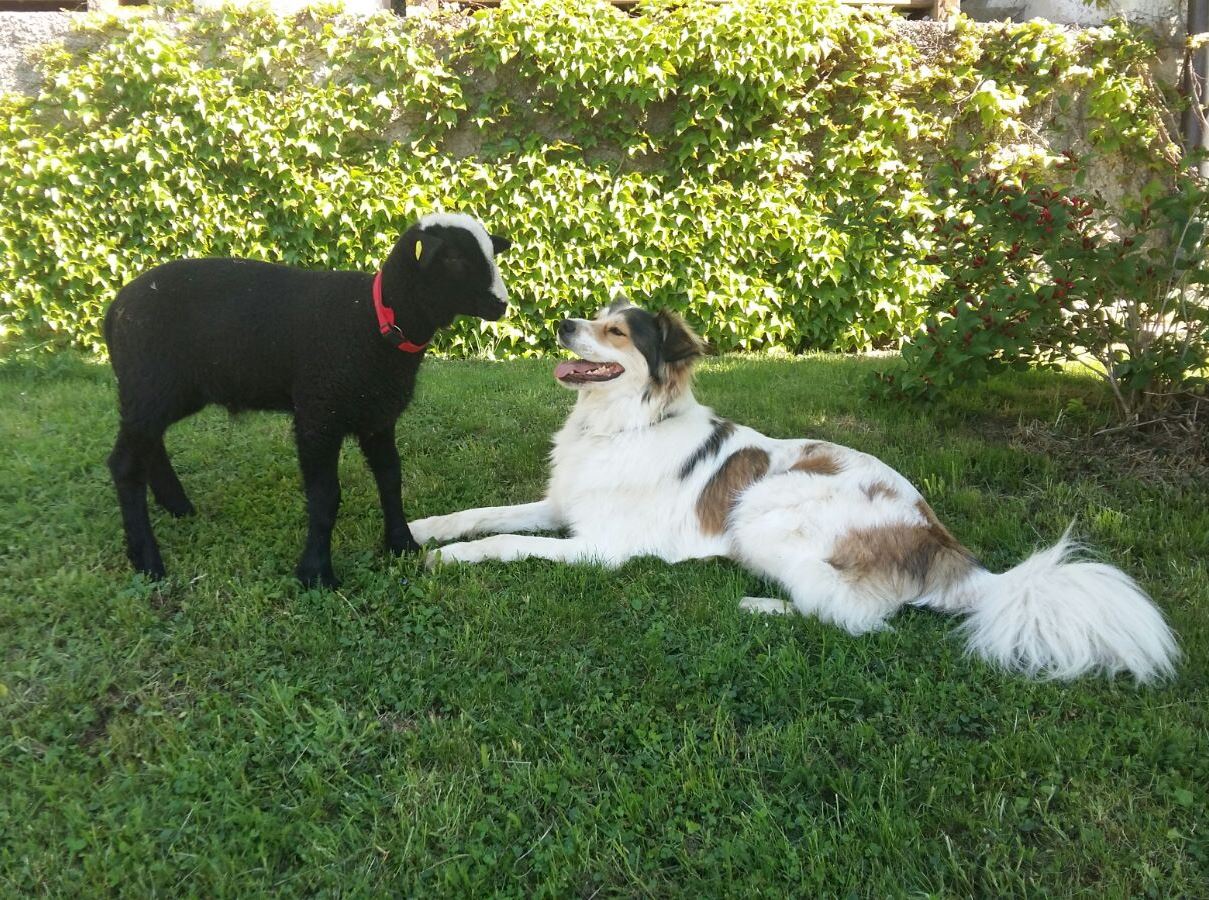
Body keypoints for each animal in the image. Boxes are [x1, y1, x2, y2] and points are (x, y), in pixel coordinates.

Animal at [105, 212, 510, 588]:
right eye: (454, 258)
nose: (502, 305)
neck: (371, 320)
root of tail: (115, 307)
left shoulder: (377, 416)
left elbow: (391, 478)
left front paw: (401, 544)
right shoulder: (318, 415)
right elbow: (325, 496)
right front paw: (316, 573)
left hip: (169, 392)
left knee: (151, 444)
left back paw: (178, 507)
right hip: (149, 384)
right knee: (125, 463)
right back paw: (147, 560)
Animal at [410, 295, 1179, 682]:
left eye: (616, 332)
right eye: (592, 316)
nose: (560, 321)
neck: (617, 424)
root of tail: (942, 543)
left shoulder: (602, 548)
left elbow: (508, 541)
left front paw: (449, 560)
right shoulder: (560, 506)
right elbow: (486, 512)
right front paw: (422, 530)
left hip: (765, 509)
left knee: (854, 616)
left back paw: (757, 603)